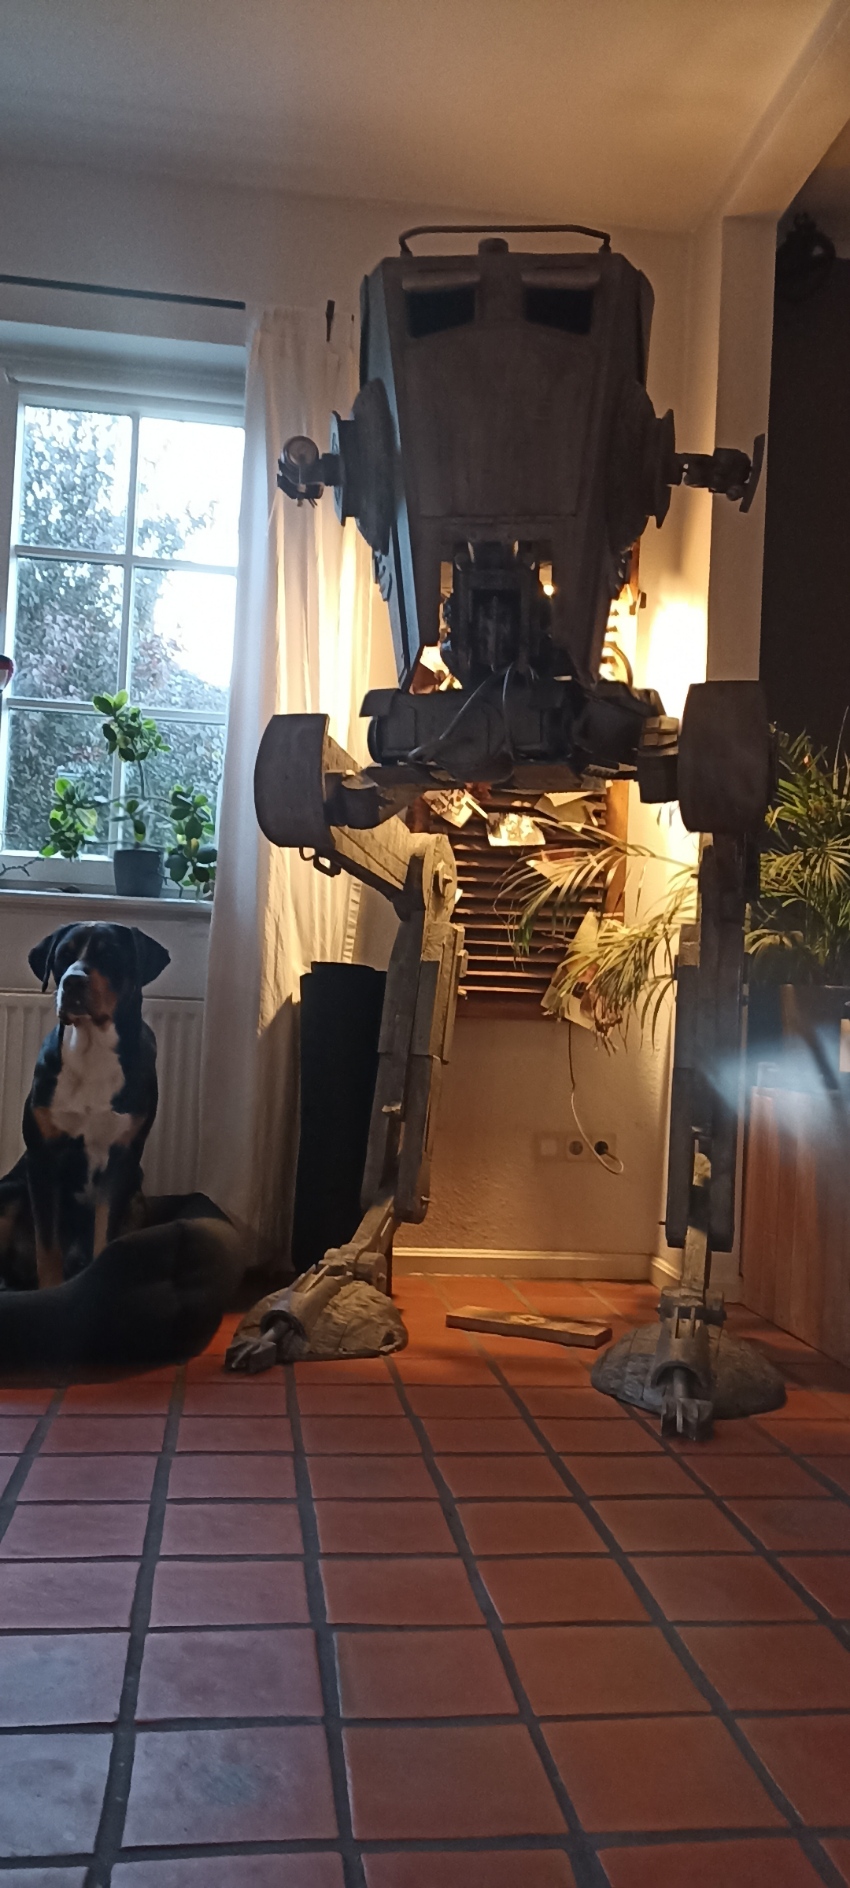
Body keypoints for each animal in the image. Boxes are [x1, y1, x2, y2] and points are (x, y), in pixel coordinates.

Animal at [24, 922, 170, 1288]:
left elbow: (105, 1239)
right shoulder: (41, 1157)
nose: (73, 981)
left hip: (137, 1200)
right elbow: (47, 1248)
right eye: (63, 956)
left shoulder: (121, 1157)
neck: (91, 1051)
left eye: (110, 955)